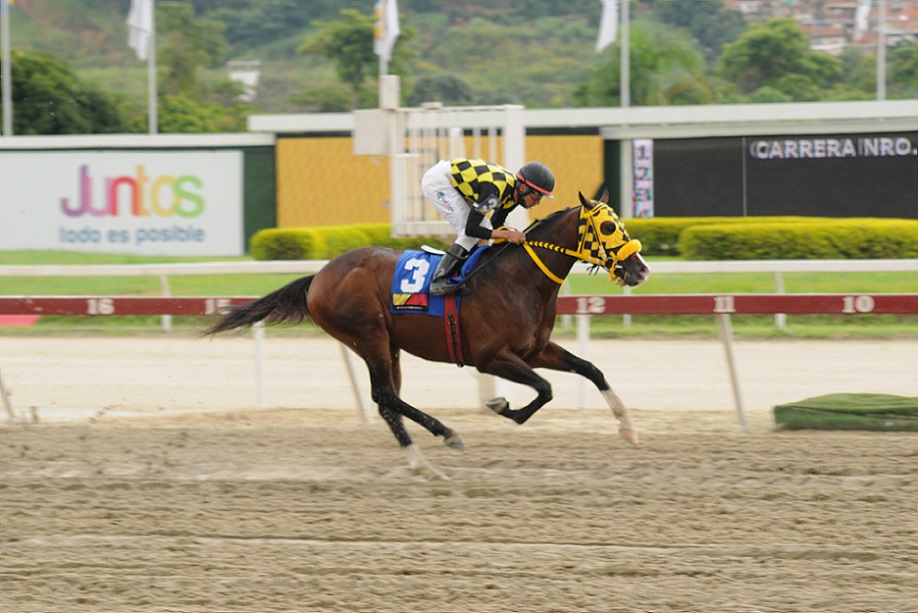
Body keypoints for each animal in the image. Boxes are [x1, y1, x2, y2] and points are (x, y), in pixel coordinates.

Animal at [204, 191, 650, 480]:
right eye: (607, 225)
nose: (641, 269)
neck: (519, 279)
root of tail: (318, 277)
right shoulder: (491, 356)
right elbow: (545, 389)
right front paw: (501, 405)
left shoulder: (534, 349)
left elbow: (589, 369)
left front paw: (628, 429)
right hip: (368, 336)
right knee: (384, 395)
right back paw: (446, 437)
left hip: (389, 344)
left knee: (387, 400)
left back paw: (423, 461)